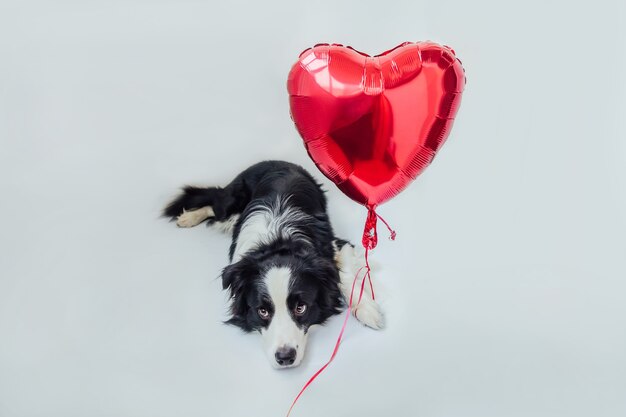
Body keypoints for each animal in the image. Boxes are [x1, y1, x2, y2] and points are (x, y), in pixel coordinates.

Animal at [161, 160, 382, 368]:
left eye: (300, 308)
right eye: (263, 311)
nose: (285, 358)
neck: (278, 242)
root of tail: (276, 161)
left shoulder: (336, 245)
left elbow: (343, 274)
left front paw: (367, 311)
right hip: (231, 202)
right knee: (215, 206)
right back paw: (188, 217)